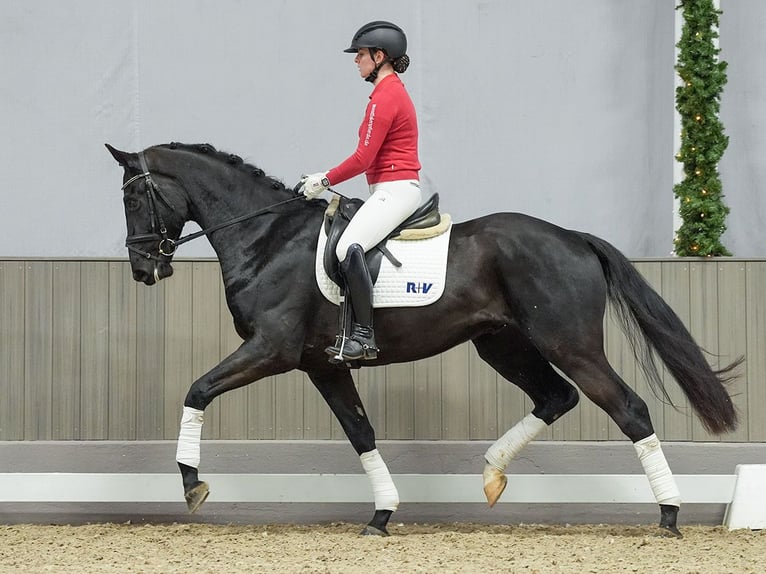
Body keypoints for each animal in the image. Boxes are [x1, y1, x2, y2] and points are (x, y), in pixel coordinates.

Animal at [105, 142, 740, 536]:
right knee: (556, 397)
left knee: (628, 409)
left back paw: (669, 516)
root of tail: (572, 237)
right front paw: (382, 515)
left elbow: (197, 390)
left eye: (134, 197)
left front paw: (192, 485)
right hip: (502, 344)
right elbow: (360, 433)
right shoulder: (322, 364)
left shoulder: (272, 350)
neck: (267, 237)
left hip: (570, 345)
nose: (142, 270)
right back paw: (491, 474)